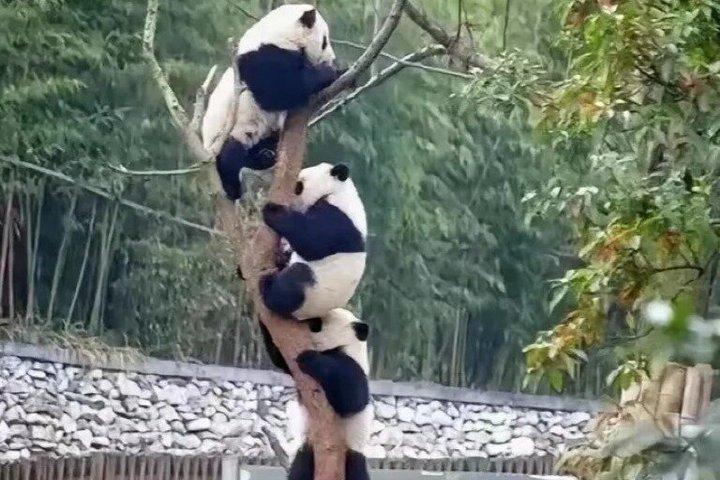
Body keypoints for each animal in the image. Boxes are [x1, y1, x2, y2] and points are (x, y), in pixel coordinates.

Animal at [202, 5, 341, 200]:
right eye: (324, 41)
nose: (332, 58)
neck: (278, 33)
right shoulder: (259, 57)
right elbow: (278, 90)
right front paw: (330, 72)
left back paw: (266, 155)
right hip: (224, 135)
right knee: (231, 155)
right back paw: (233, 187)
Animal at [260, 162, 367, 320]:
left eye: (298, 186)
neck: (337, 191)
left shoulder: (339, 220)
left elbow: (312, 241)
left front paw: (273, 212)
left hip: (314, 295)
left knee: (295, 280)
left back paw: (267, 287)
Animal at [287, 309, 373, 480]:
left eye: (316, 323)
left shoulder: (354, 365)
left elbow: (352, 399)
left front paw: (308, 357)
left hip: (352, 451)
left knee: (357, 468)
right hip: (307, 448)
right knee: (299, 469)